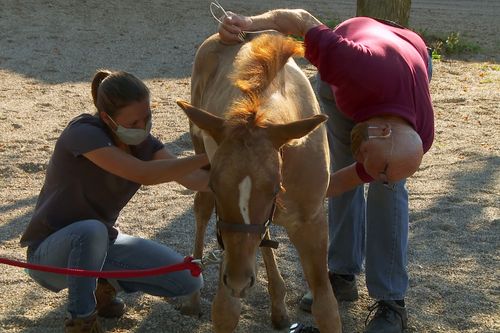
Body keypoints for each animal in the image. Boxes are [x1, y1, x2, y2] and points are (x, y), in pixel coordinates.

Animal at [174, 31, 342, 332]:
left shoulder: (312, 224)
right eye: (216, 186)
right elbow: (225, 310)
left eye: (275, 188)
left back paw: (278, 306)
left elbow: (327, 308)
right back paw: (193, 298)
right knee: (202, 210)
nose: (239, 281)